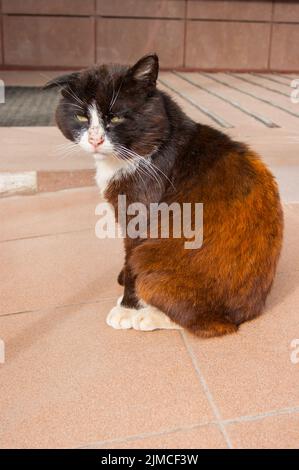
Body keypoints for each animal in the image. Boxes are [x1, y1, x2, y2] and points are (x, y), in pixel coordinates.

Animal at [45, 53, 284, 336]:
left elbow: (130, 264)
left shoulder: (138, 218)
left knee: (205, 324)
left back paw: (149, 316)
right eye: (81, 117)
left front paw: (127, 309)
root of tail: (243, 315)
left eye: (116, 118)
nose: (95, 140)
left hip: (152, 258)